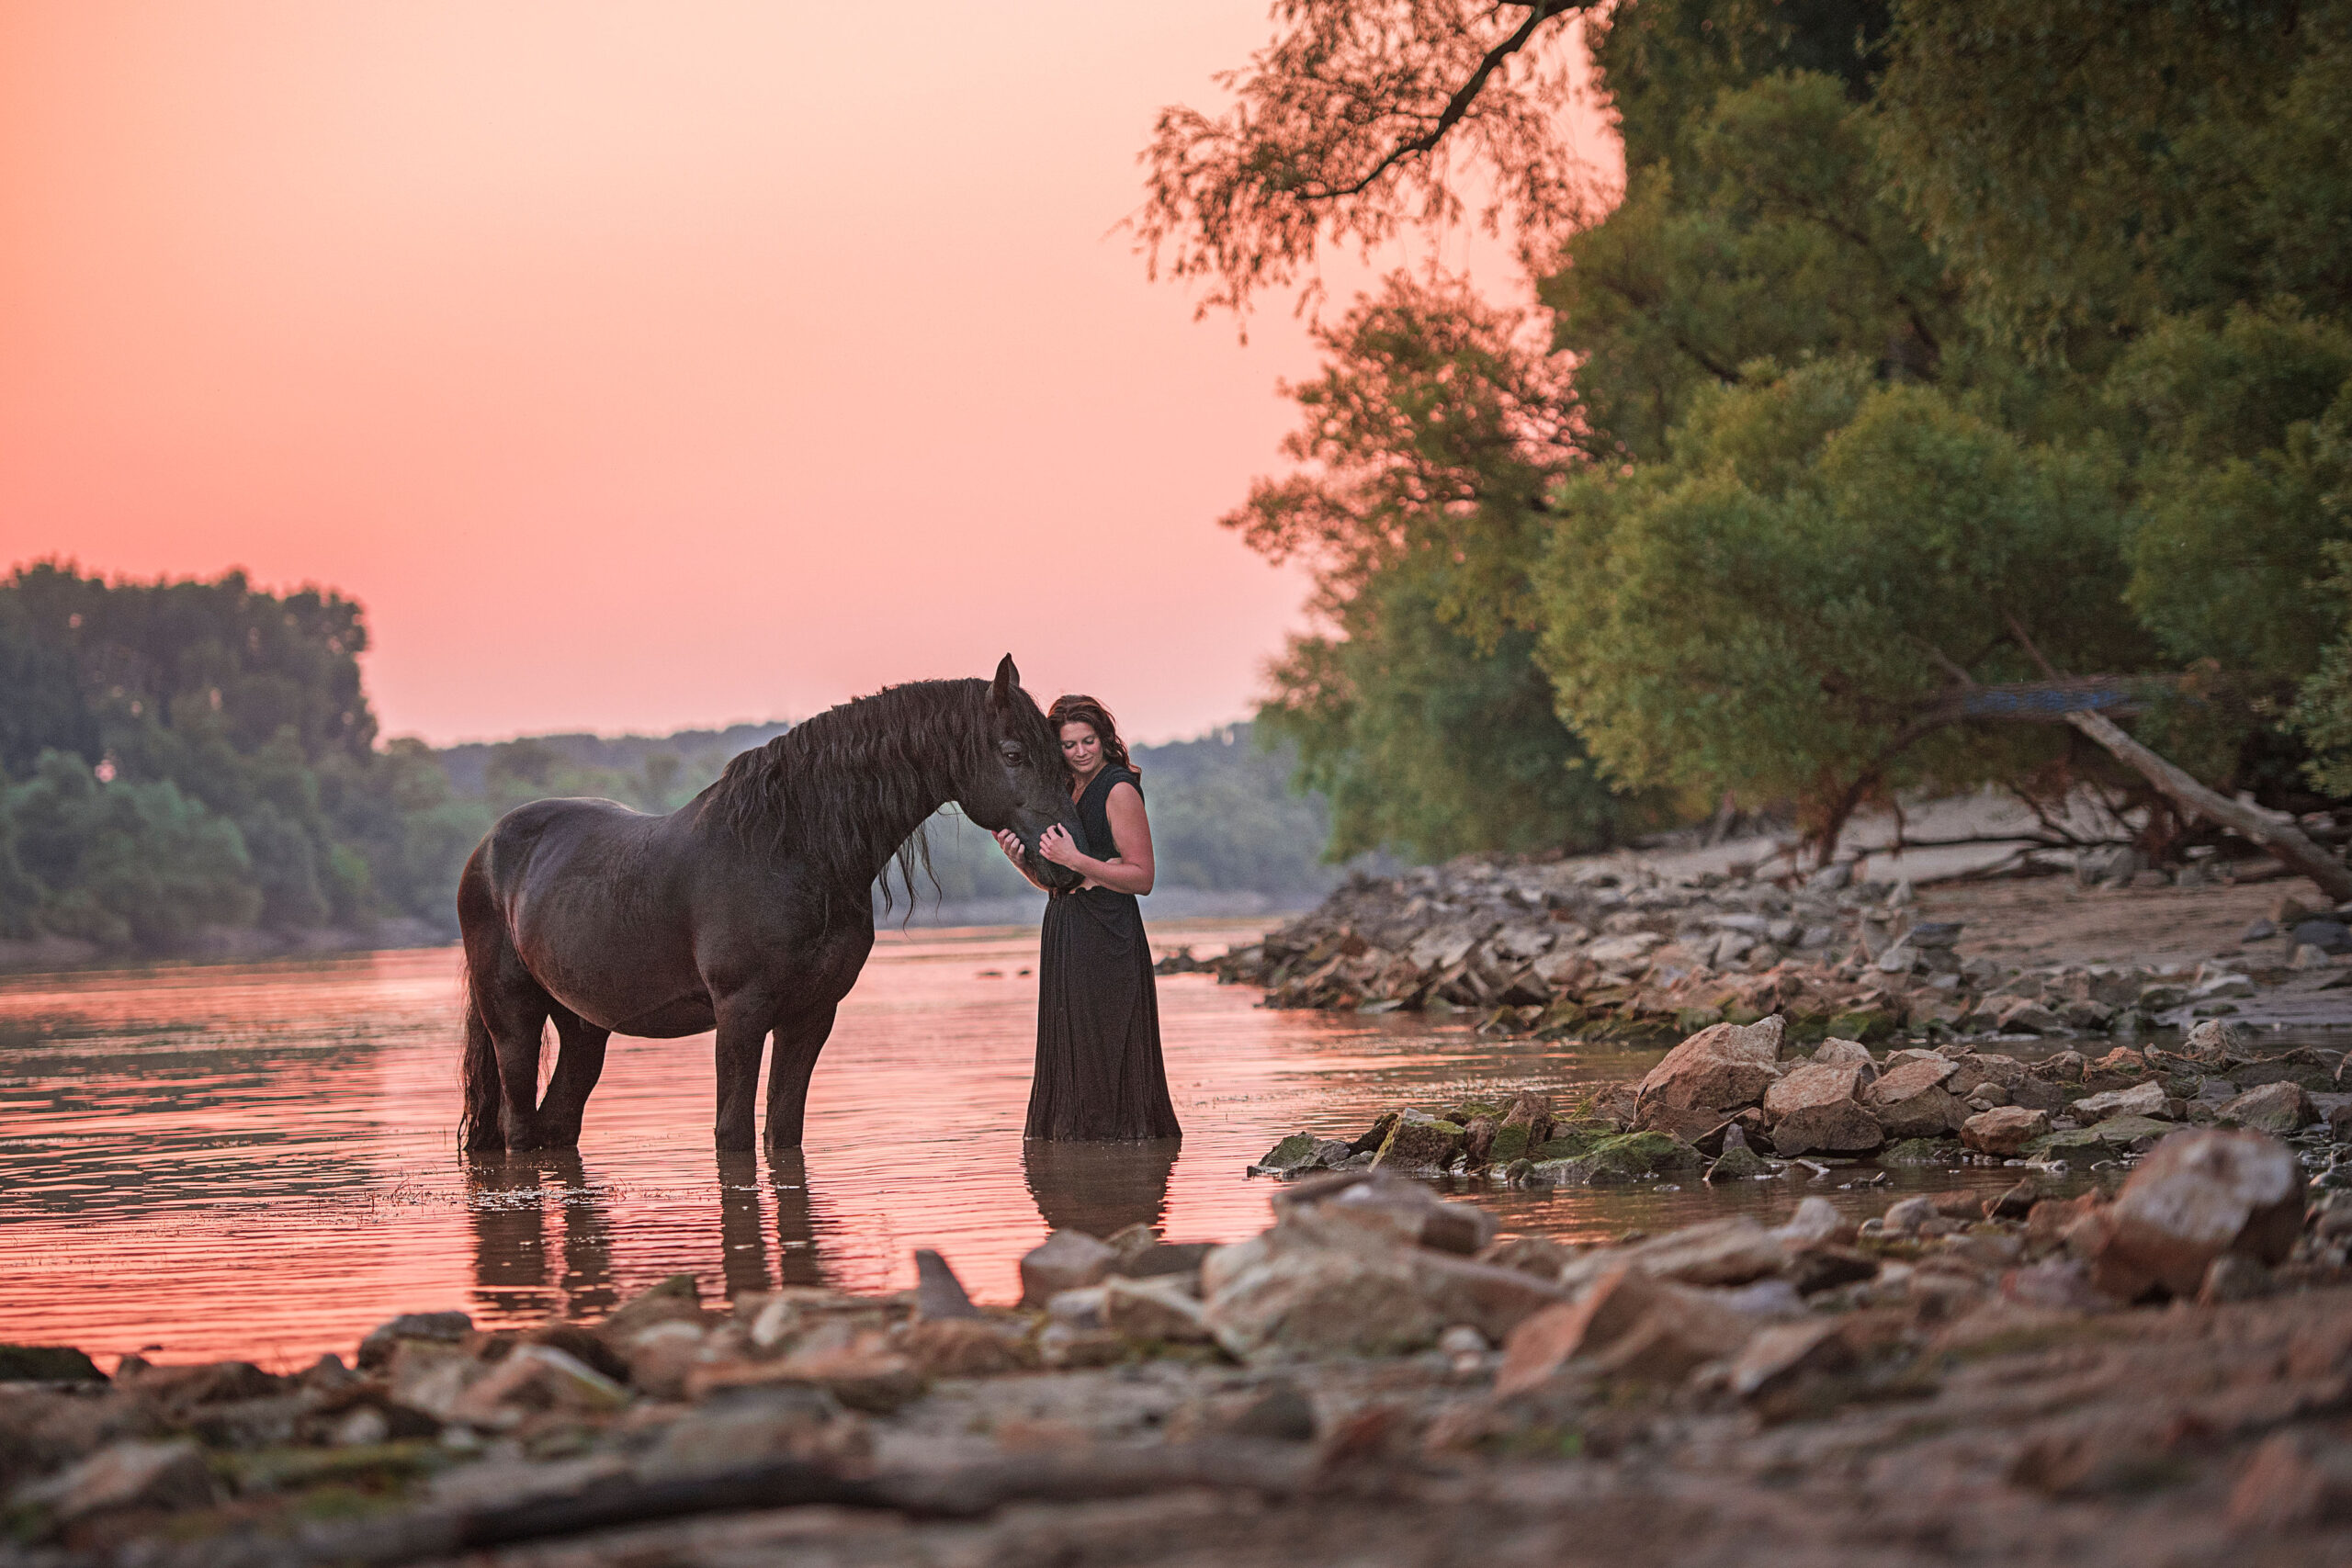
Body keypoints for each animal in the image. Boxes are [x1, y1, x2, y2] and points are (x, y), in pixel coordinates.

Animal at [456, 655, 1082, 1154]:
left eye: (1062, 751)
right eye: (1013, 753)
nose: (1070, 860)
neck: (793, 848)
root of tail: (486, 849)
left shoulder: (812, 1014)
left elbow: (784, 1131)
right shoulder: (741, 1012)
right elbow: (732, 1134)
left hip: (584, 1024)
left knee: (557, 1123)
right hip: (512, 1017)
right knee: (518, 1125)